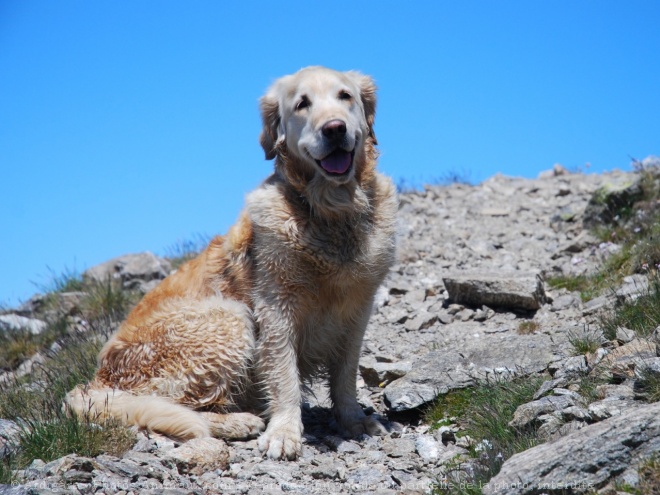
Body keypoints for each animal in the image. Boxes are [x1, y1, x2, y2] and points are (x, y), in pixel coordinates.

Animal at [67, 66, 398, 462]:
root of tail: (94, 383)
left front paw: (354, 420)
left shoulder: (358, 308)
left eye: (345, 96)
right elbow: (284, 377)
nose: (334, 128)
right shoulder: (276, 308)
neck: (331, 213)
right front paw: (284, 432)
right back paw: (239, 422)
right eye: (302, 104)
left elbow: (346, 374)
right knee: (179, 407)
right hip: (228, 318)